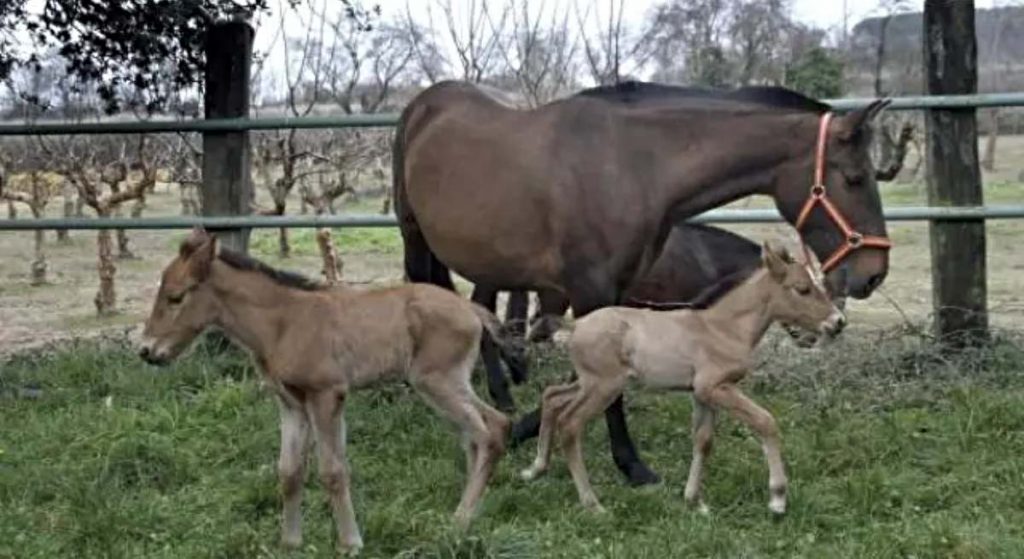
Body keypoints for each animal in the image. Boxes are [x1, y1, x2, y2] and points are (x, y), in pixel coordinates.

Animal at [395, 80, 892, 485]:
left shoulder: (616, 294)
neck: (632, 166)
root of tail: (424, 103)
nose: (873, 273)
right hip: (416, 238)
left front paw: (522, 430)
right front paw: (632, 466)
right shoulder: (592, 291)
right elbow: (609, 389)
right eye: (854, 178)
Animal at [524, 242, 843, 513]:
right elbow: (765, 421)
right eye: (802, 289)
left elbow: (703, 440)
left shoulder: (703, 394)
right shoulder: (715, 386)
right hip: (604, 386)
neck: (723, 328)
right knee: (570, 423)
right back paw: (592, 503)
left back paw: (535, 468)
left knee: (552, 397)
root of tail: (575, 326)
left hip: (589, 382)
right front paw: (777, 498)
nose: (838, 322)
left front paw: (695, 501)